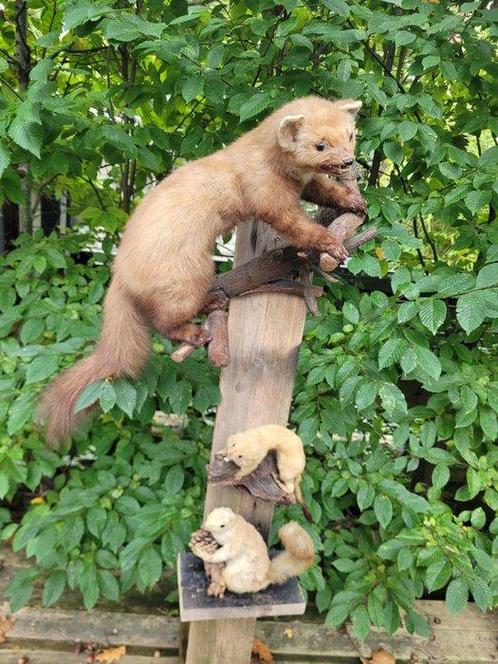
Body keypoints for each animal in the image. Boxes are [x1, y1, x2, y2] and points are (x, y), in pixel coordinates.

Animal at [40, 96, 366, 444]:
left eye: (350, 135)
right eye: (320, 145)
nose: (347, 161)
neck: (284, 172)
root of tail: (120, 274)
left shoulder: (304, 185)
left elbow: (323, 190)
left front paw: (354, 202)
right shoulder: (267, 195)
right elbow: (298, 227)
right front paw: (333, 245)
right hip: (188, 275)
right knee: (163, 322)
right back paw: (196, 329)